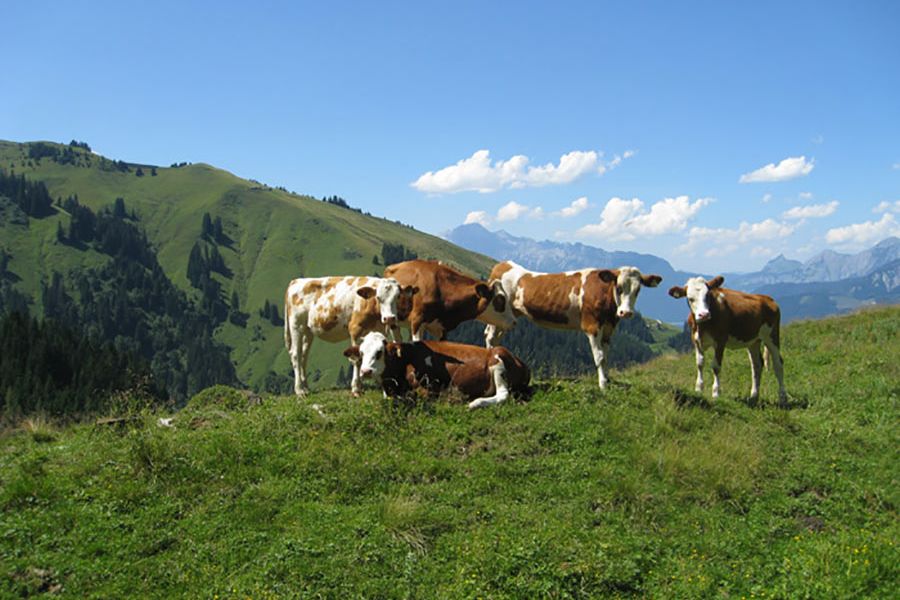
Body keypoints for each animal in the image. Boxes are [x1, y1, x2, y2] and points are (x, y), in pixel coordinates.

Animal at [342, 330, 528, 410]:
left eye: (379, 352)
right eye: (361, 353)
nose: (365, 371)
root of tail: (521, 362)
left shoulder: (430, 388)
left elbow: (414, 397)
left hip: (498, 359)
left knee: (503, 395)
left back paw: (475, 403)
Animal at [482, 262, 664, 390]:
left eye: (638, 290)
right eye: (618, 287)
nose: (626, 312)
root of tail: (503, 265)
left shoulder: (609, 327)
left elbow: (606, 355)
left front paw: (607, 378)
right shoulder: (592, 326)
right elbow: (599, 356)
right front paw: (602, 384)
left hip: (507, 319)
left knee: (495, 338)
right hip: (497, 315)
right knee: (490, 337)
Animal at [668, 276, 788, 406]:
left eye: (708, 295)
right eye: (690, 298)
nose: (704, 314)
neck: (703, 326)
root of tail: (767, 298)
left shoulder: (720, 341)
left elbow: (716, 366)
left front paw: (716, 393)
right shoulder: (696, 341)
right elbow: (699, 363)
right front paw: (698, 389)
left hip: (772, 335)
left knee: (778, 364)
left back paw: (783, 398)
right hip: (753, 341)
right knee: (756, 365)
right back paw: (753, 397)